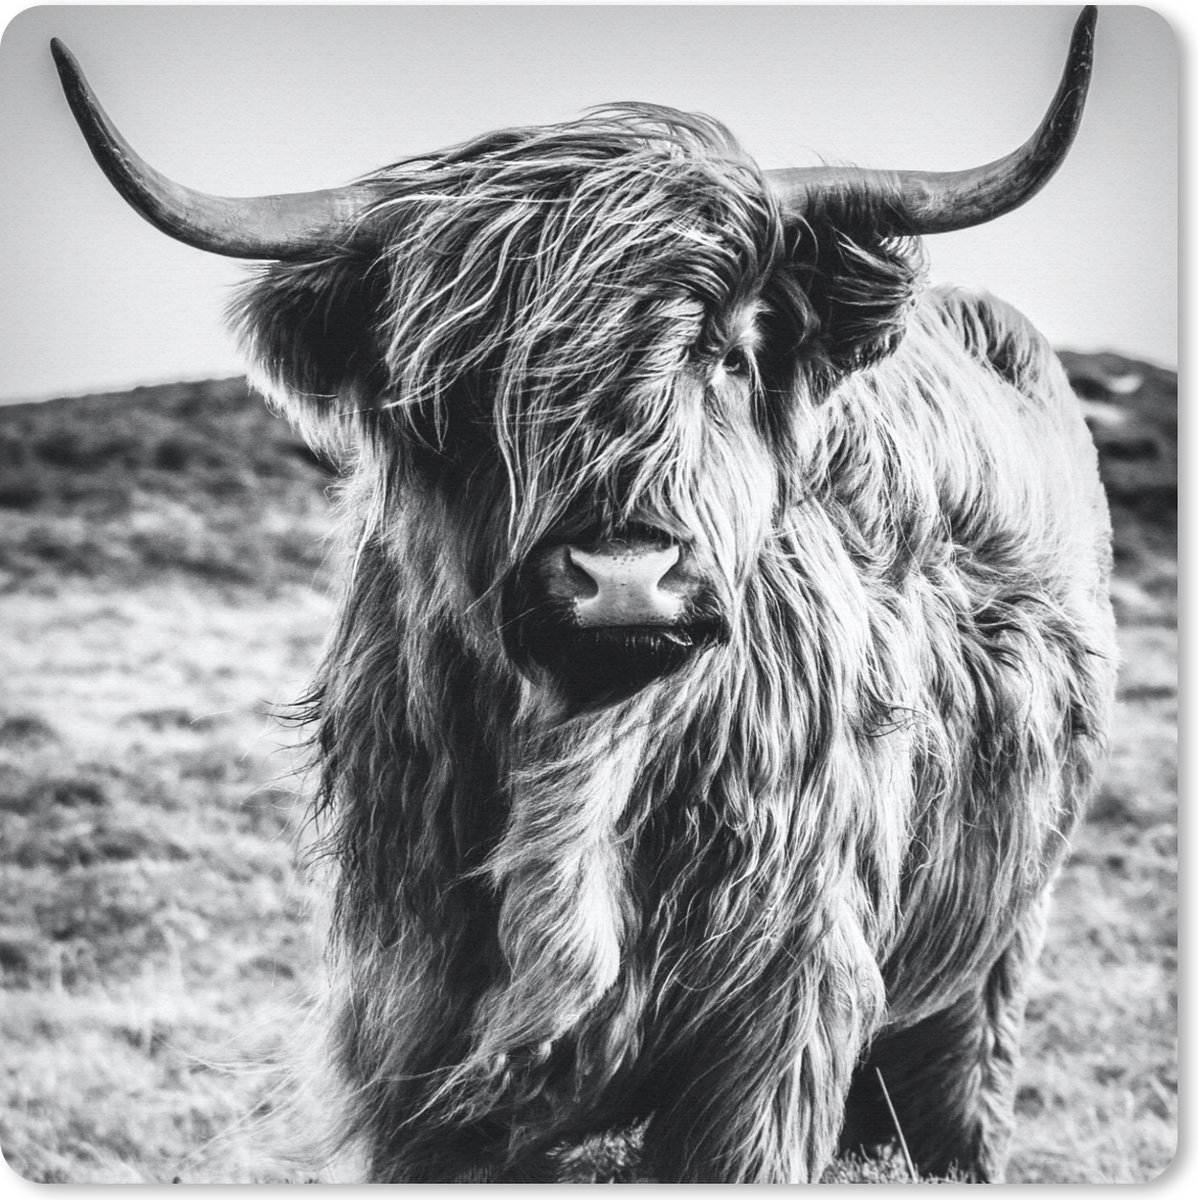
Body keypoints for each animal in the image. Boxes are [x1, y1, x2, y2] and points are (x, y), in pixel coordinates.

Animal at [52, 7, 1115, 1183]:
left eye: (729, 354)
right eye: (467, 385)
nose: (624, 577)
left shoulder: (777, 1018)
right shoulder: (413, 1033)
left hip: (996, 952)